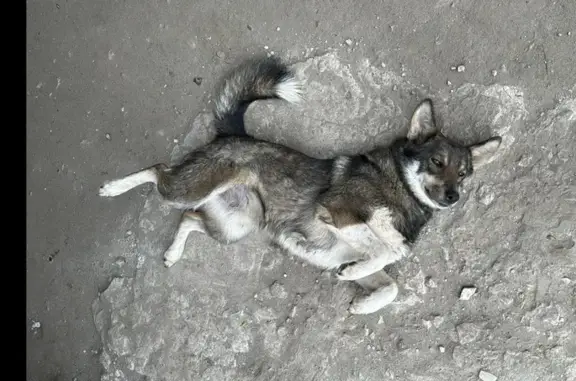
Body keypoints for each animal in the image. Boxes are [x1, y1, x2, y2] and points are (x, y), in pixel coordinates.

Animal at [99, 55, 500, 312]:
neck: (400, 187)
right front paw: (364, 270)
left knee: (190, 218)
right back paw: (112, 188)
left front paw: (363, 302)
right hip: (192, 190)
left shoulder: (346, 248)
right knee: (158, 171)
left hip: (238, 224)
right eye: (437, 162)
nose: (453, 196)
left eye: (464, 172)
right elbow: (387, 249)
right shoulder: (339, 211)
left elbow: (390, 283)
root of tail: (234, 133)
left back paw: (172, 253)